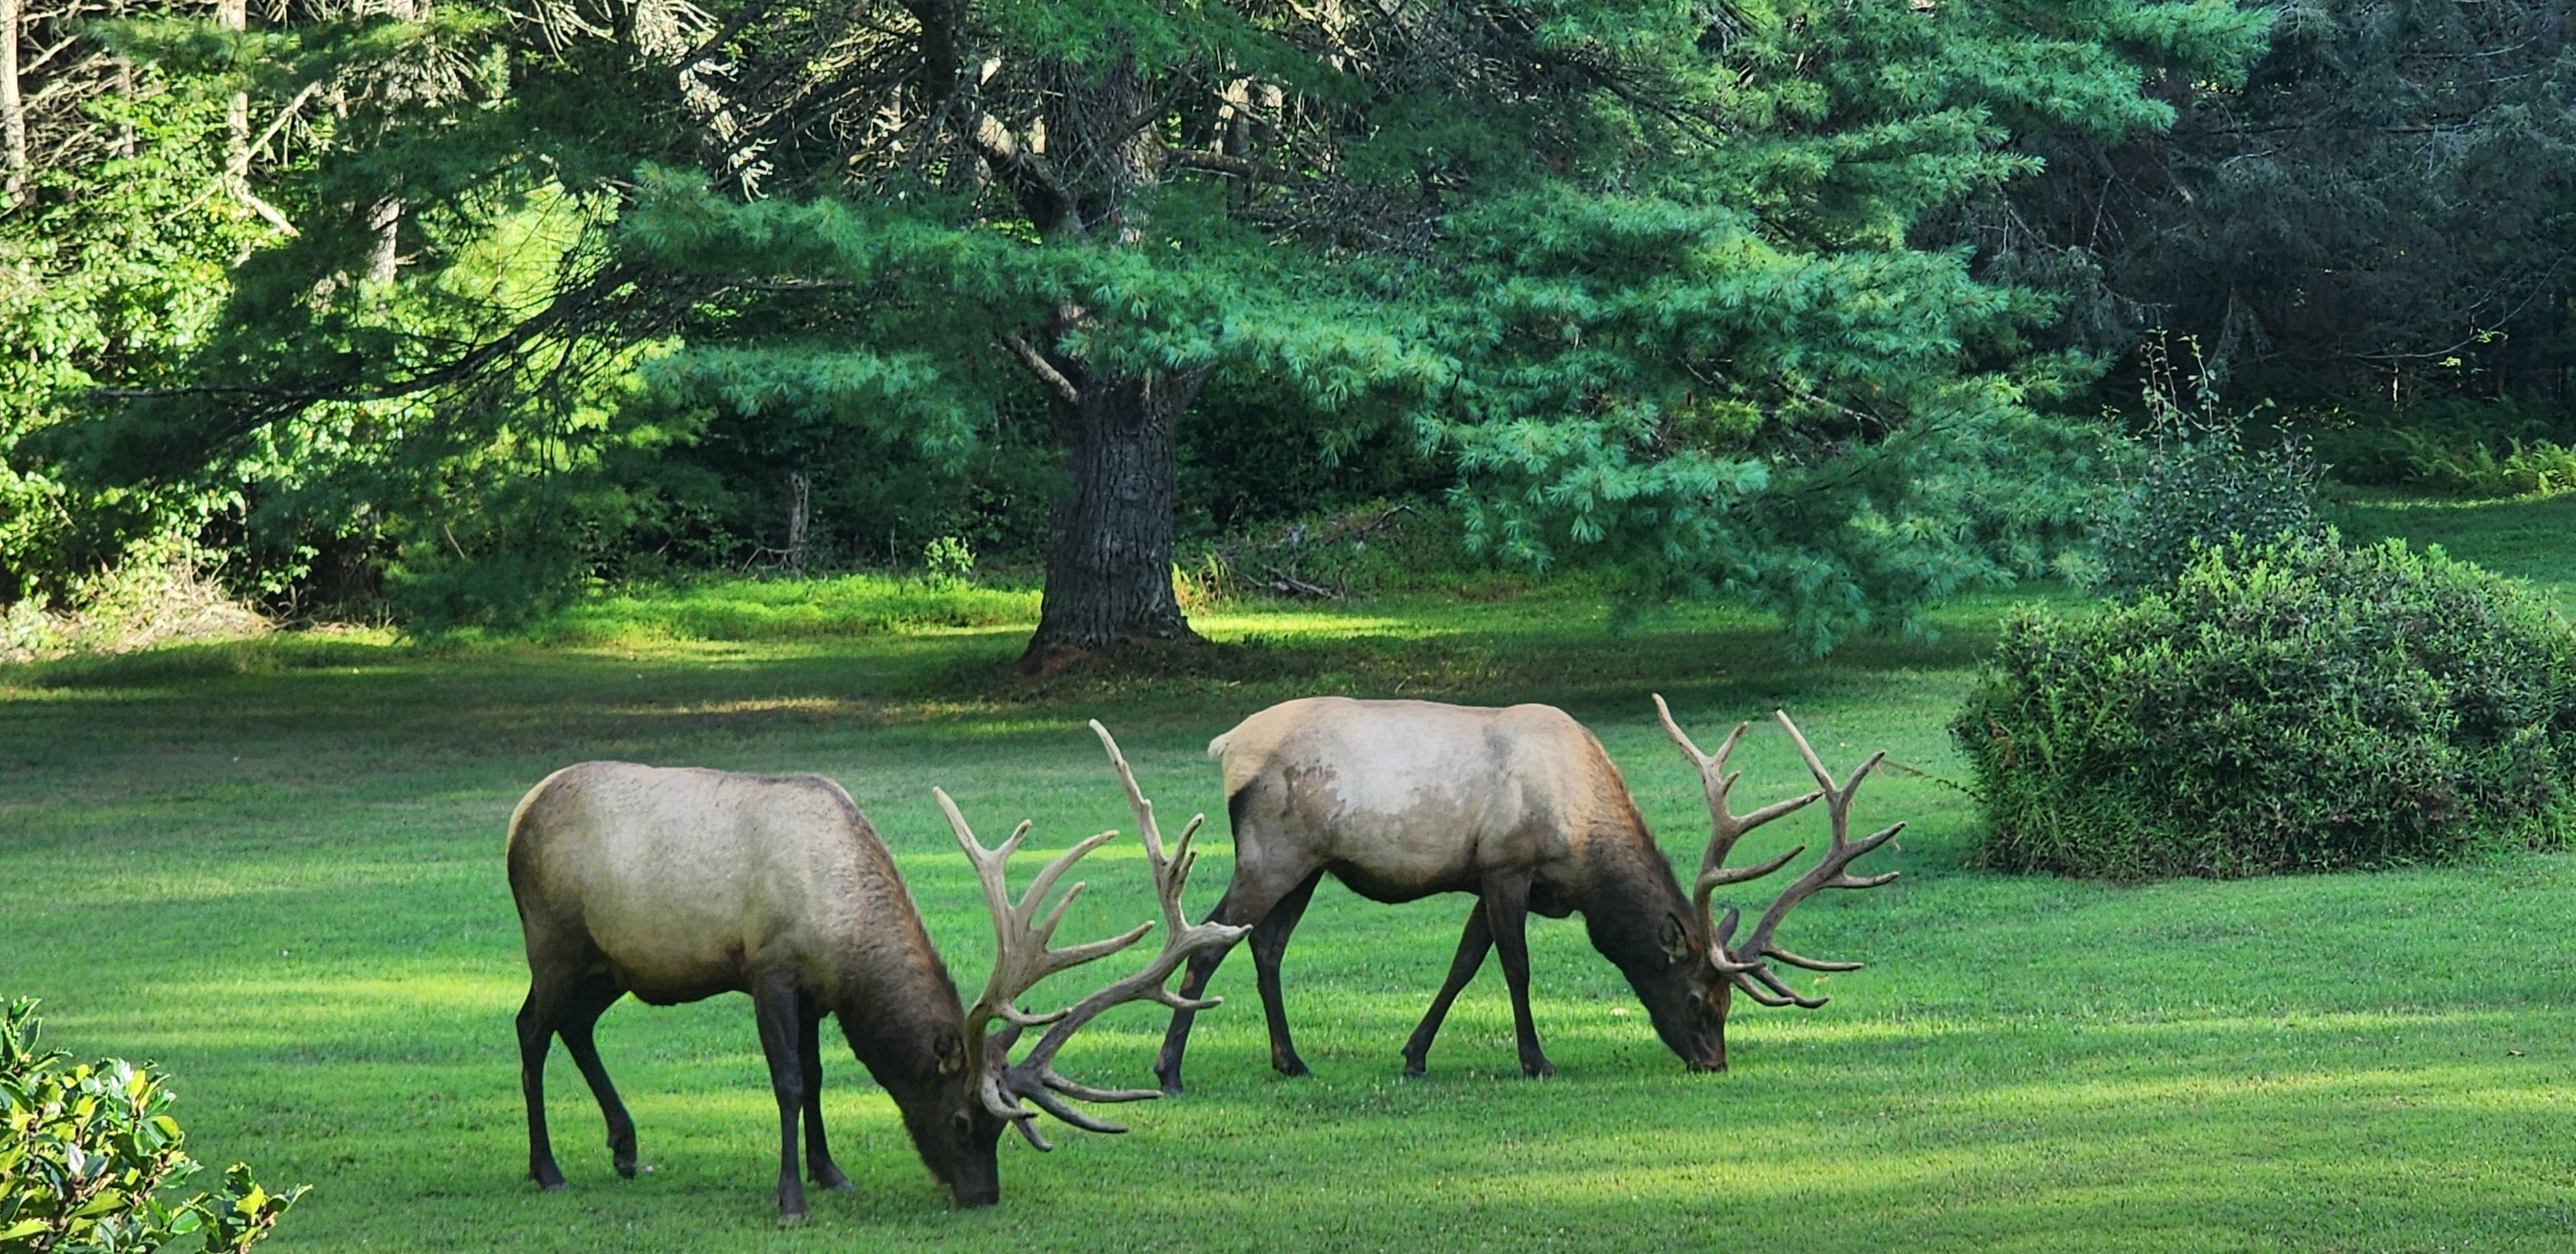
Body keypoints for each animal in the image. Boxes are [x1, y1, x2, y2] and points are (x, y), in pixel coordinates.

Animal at [505, 721, 1246, 1218]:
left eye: (1005, 1126)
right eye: (962, 1121)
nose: (983, 1196)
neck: (841, 933)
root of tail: (519, 814)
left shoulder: (815, 992)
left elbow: (818, 1078)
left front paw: (831, 1173)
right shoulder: (771, 968)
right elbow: (789, 1081)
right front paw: (791, 1198)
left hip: (609, 964)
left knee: (574, 1025)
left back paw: (625, 1147)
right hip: (553, 939)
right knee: (531, 1027)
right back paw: (547, 1169)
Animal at [1153, 695, 1900, 1090]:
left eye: (1728, 1002)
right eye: (1697, 997)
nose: (1713, 1062)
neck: (1583, 847)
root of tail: (1227, 746)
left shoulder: (1489, 877)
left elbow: (1462, 963)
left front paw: (1414, 1054)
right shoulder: (1507, 864)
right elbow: (1514, 966)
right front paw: (1535, 1058)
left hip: (1307, 864)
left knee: (1266, 946)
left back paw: (1290, 1059)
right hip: (1272, 852)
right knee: (1209, 942)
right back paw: (1169, 1070)